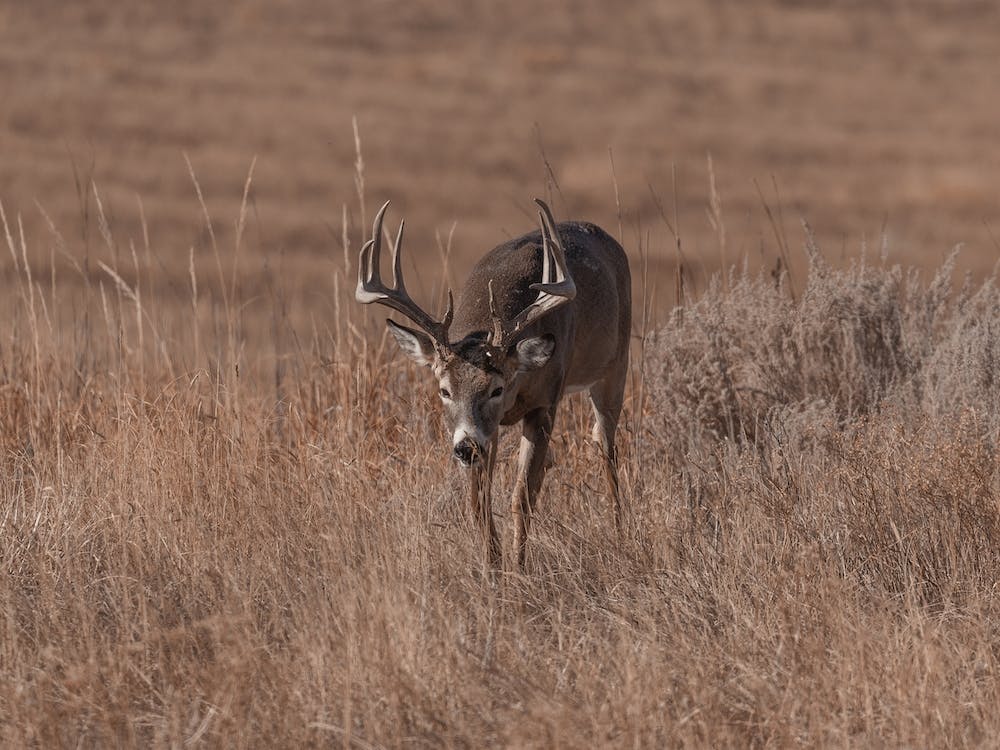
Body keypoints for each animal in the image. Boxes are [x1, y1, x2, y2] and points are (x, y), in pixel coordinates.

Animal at [355, 198, 631, 573]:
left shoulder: (544, 405)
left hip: (615, 364)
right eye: (444, 390)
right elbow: (479, 504)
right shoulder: (487, 432)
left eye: (496, 389)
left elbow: (522, 497)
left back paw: (620, 533)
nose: (464, 448)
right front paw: (492, 572)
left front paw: (519, 571)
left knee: (605, 445)